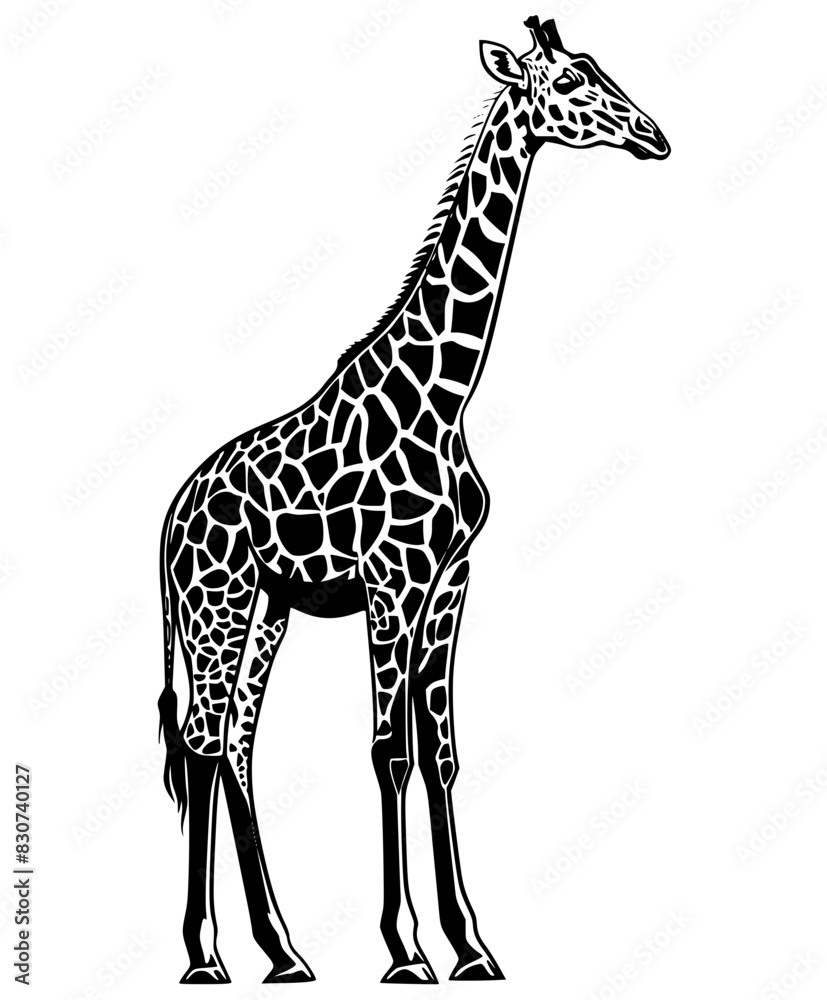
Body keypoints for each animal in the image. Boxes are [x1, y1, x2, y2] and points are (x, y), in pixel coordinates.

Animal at [158, 15, 669, 985]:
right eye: (570, 84)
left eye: (599, 69)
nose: (653, 137)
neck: (444, 394)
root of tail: (168, 519)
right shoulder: (391, 583)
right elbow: (387, 751)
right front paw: (404, 951)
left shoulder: (450, 582)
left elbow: (439, 753)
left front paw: (471, 945)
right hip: (215, 604)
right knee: (201, 745)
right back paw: (204, 956)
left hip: (268, 607)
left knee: (236, 745)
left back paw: (283, 950)